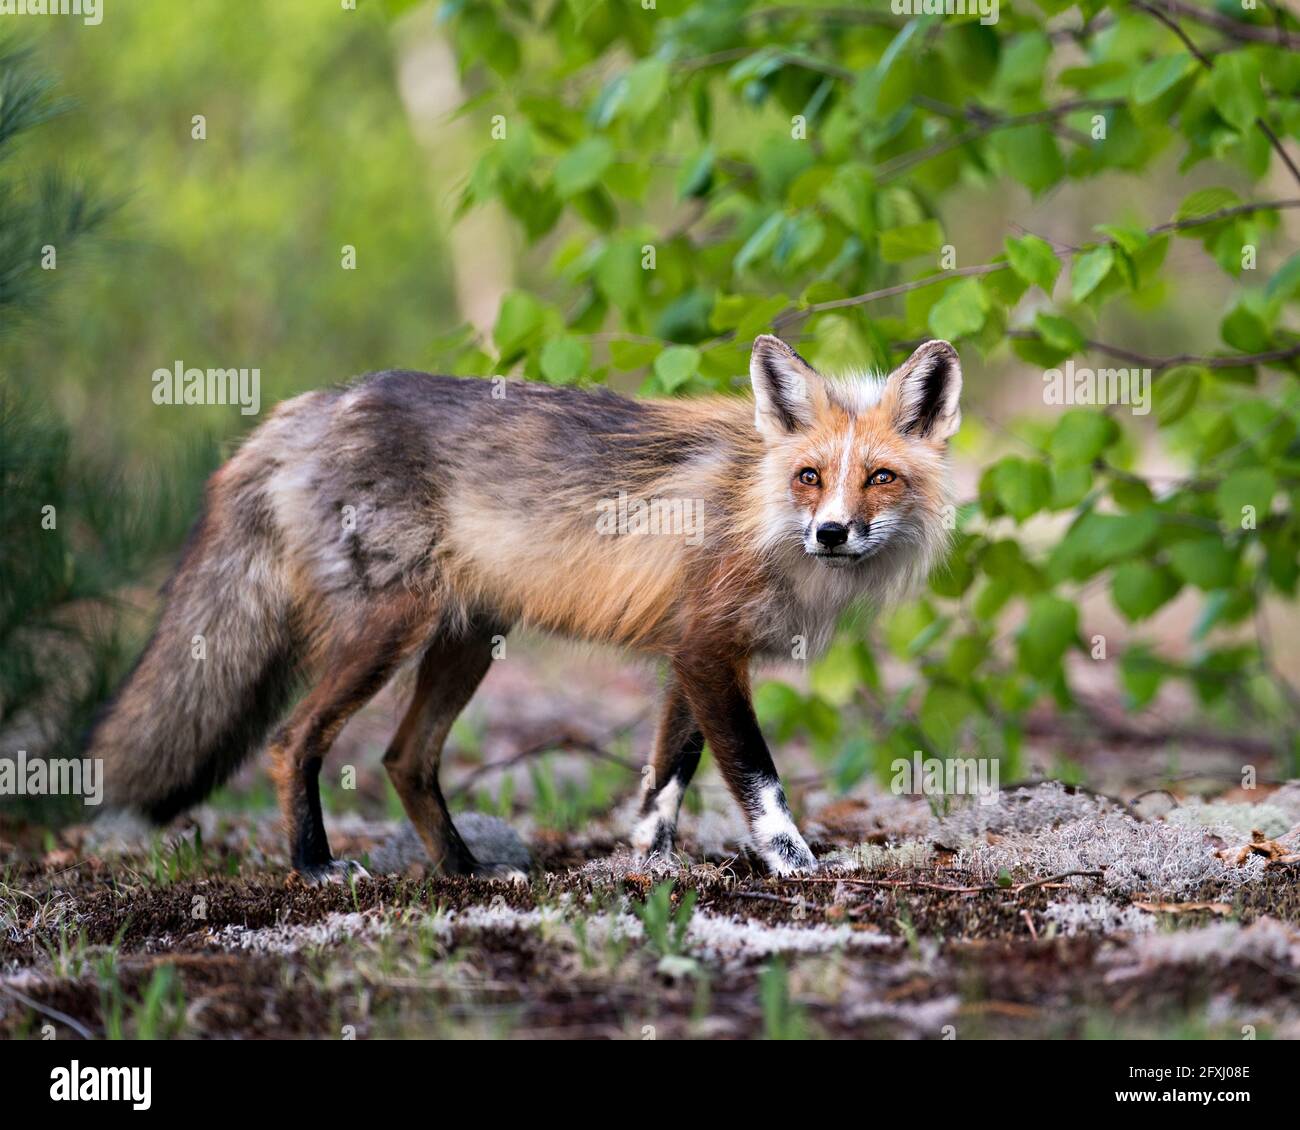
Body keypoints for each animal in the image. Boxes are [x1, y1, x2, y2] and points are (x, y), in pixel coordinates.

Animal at [88, 335, 961, 881]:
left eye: (879, 477)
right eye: (810, 476)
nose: (832, 532)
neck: (756, 509)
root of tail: (312, 405)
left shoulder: (691, 653)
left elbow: (664, 780)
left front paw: (649, 864)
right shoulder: (709, 651)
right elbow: (757, 776)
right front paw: (793, 863)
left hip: (470, 638)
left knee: (404, 758)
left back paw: (466, 872)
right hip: (389, 628)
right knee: (289, 740)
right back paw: (315, 866)